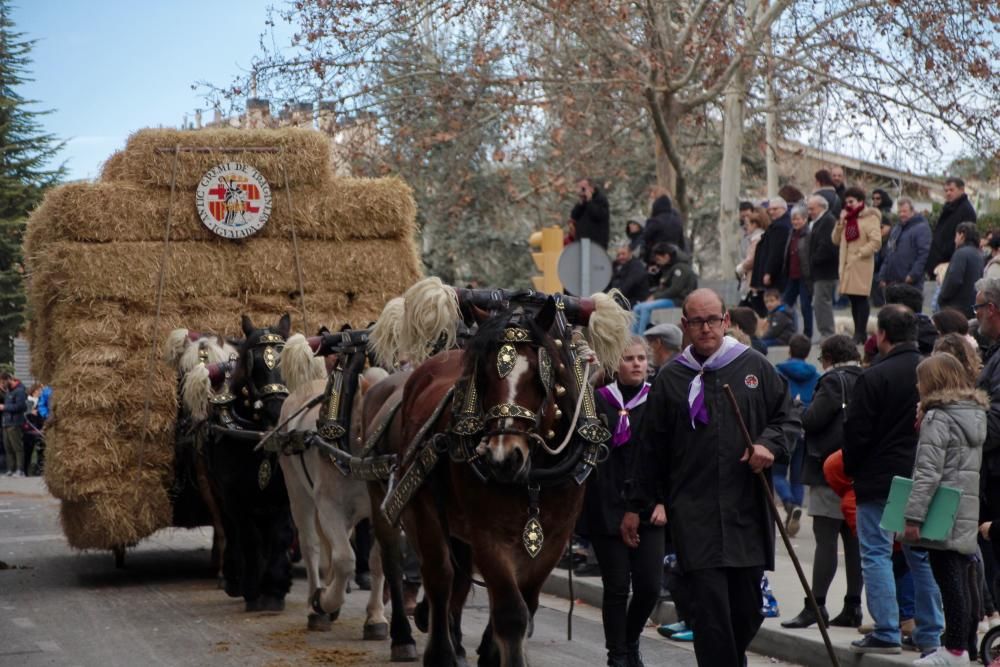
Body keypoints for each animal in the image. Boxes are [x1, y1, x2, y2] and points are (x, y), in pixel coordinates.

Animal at [202, 316, 296, 612]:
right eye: (252, 363)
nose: (277, 411)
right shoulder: (235, 496)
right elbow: (248, 537)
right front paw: (254, 591)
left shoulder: (283, 494)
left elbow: (280, 535)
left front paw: (274, 589)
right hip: (217, 492)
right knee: (230, 530)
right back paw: (233, 578)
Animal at [364, 284, 628, 664]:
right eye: (484, 375)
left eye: (539, 375)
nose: (502, 457)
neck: (533, 479)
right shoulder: (488, 535)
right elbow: (510, 612)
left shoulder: (554, 539)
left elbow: (526, 604)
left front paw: (490, 653)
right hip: (421, 510)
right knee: (438, 576)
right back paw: (433, 647)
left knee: (457, 580)